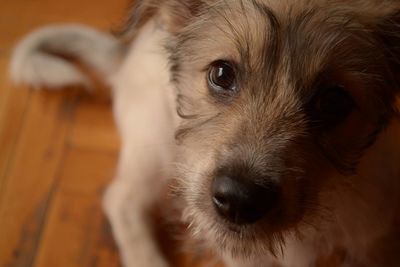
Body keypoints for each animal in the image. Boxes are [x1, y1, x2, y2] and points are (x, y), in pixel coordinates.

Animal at [9, 0, 400, 267]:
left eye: (333, 102)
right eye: (222, 74)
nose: (238, 200)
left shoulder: (374, 239)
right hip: (157, 146)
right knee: (122, 200)